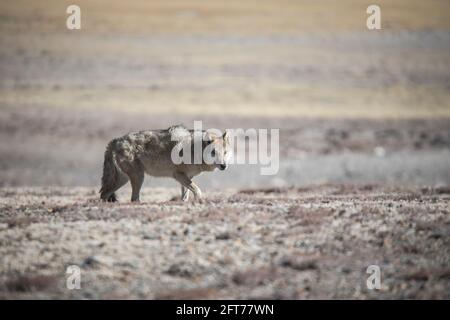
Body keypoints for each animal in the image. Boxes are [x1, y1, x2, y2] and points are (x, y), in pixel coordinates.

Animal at [100, 125, 230, 202]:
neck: (194, 150)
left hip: (123, 179)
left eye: (225, 153)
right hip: (138, 177)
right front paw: (199, 202)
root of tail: (114, 141)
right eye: (213, 152)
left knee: (104, 194)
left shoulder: (187, 177)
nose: (224, 166)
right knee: (133, 198)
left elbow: (185, 195)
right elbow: (197, 191)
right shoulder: (178, 175)